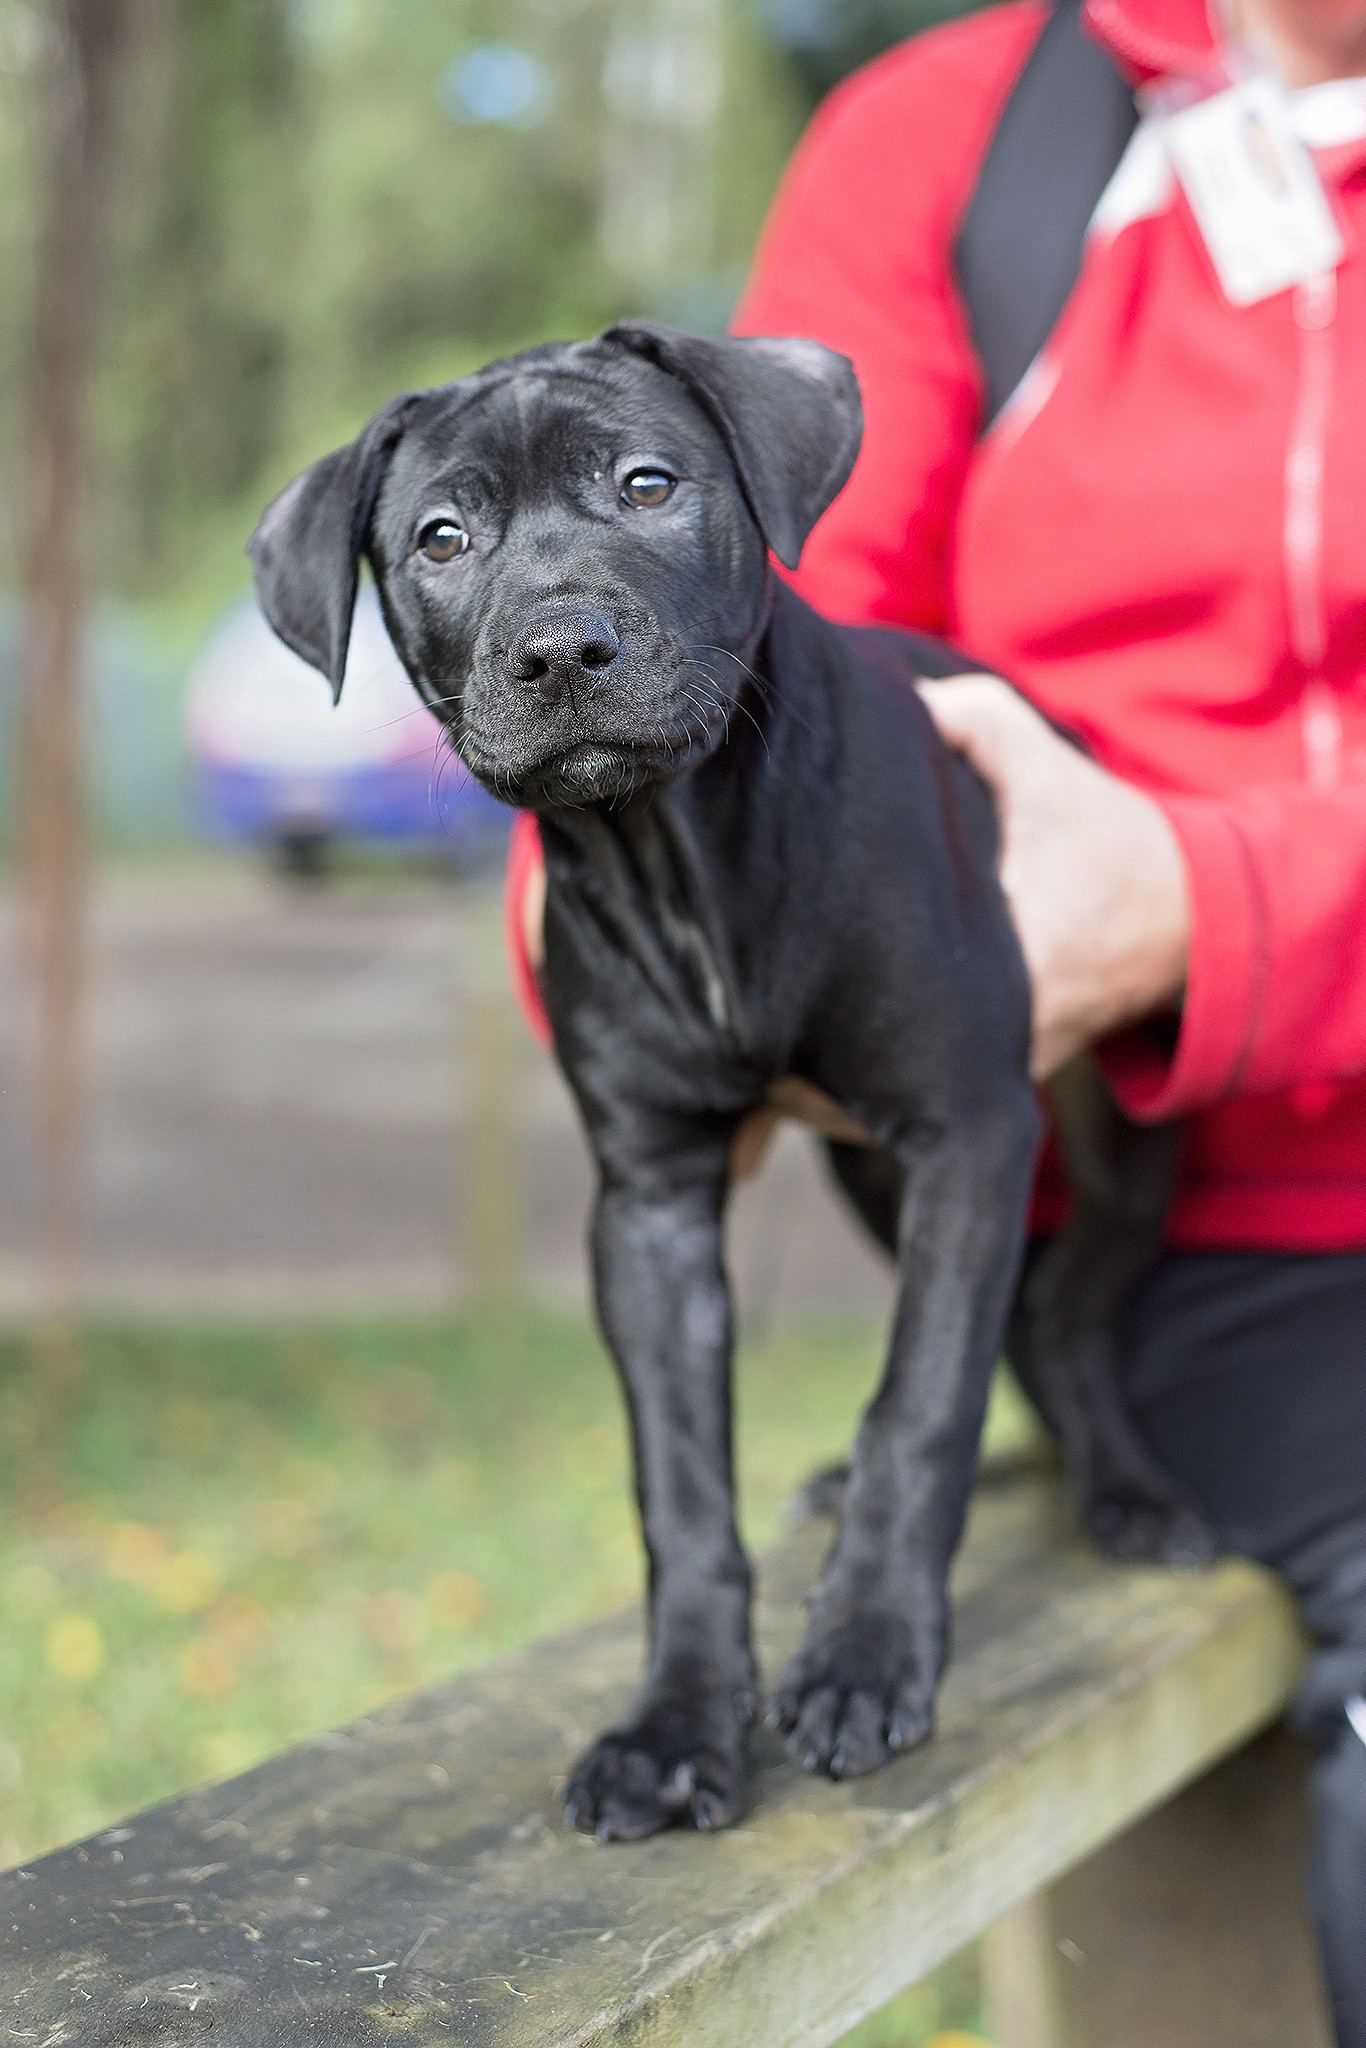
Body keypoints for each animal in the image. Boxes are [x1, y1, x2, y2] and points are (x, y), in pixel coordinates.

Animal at [249, 323, 1211, 1842]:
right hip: (873, 1170)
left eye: (648, 484)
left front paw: (866, 1652)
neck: (674, 851)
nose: (558, 647)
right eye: (441, 538)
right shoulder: (651, 1207)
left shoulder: (966, 1127)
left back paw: (1122, 1492)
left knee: (1060, 1311)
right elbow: (684, 1491)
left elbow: (919, 1402)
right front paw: (675, 1724)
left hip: (1102, 1128)